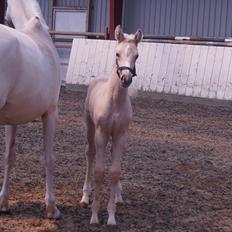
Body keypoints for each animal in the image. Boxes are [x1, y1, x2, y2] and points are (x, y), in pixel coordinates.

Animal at [0, 0, 60, 218]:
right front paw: (51, 207)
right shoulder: (50, 113)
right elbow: (49, 158)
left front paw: (3, 202)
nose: (5, 19)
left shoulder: (11, 120)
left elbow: (9, 156)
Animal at [80, 25, 143, 225]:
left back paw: (118, 195)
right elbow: (99, 171)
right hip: (90, 128)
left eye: (136, 55)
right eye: (117, 53)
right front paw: (94, 216)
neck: (115, 100)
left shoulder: (120, 135)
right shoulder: (101, 134)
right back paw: (85, 196)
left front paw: (111, 216)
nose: (126, 79)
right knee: (90, 154)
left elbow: (115, 172)